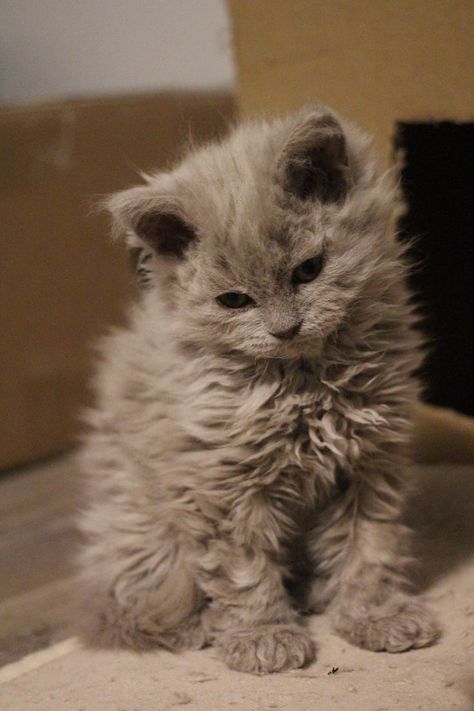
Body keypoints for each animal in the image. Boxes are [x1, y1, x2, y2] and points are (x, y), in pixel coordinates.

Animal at [77, 104, 440, 672]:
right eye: (234, 300)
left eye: (308, 271)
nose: (285, 328)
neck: (306, 384)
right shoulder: (222, 484)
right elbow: (242, 568)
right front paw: (262, 636)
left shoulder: (369, 463)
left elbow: (369, 547)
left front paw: (375, 614)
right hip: (143, 531)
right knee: (136, 610)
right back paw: (198, 628)